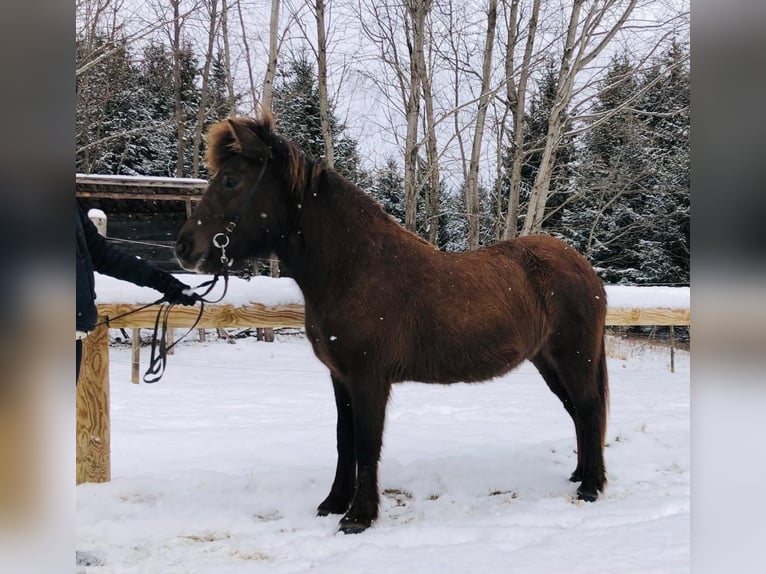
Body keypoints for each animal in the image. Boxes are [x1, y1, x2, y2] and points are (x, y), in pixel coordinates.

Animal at [176, 112, 612, 536]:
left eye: (231, 180)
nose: (183, 248)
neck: (355, 269)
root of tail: (584, 269)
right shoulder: (341, 377)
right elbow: (345, 439)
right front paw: (333, 503)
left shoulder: (369, 378)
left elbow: (367, 443)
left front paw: (358, 516)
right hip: (548, 361)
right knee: (576, 411)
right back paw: (579, 475)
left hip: (572, 357)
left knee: (588, 409)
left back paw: (591, 487)